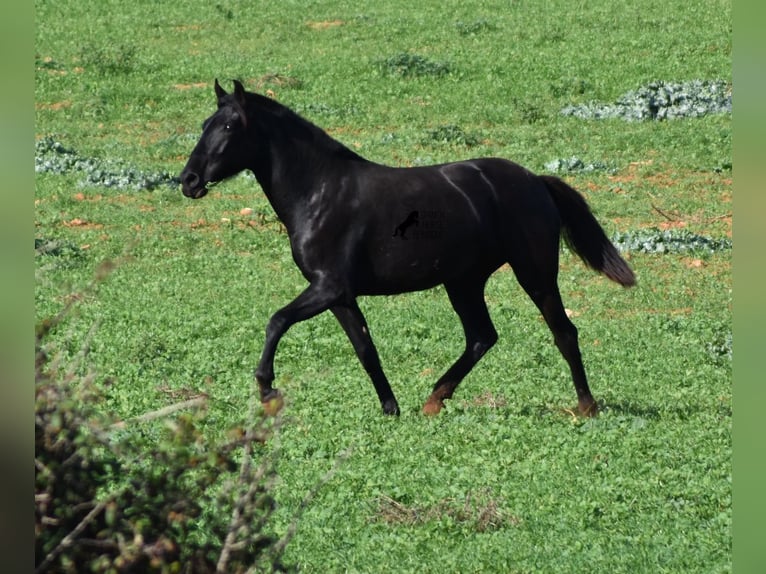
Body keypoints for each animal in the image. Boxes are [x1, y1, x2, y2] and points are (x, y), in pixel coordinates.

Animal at [180, 80, 636, 418]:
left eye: (229, 127)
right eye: (205, 123)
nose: (188, 180)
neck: (320, 191)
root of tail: (536, 181)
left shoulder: (328, 287)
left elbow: (277, 321)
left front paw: (267, 392)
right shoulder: (339, 295)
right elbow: (366, 349)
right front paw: (390, 408)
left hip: (534, 272)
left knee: (563, 331)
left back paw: (586, 406)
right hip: (464, 282)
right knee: (481, 337)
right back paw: (434, 399)